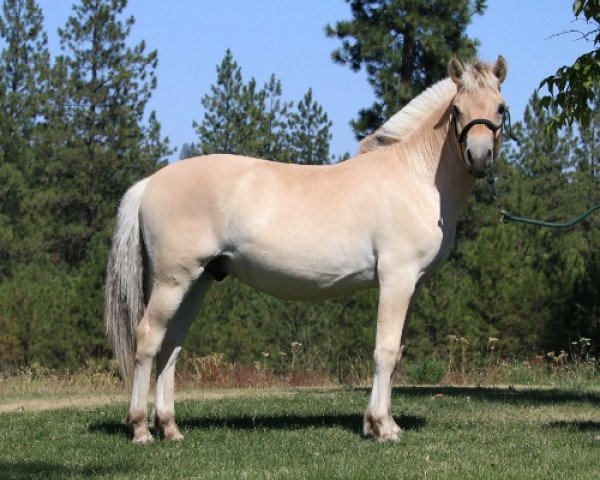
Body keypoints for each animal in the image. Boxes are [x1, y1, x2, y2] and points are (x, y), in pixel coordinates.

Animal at [105, 55, 508, 442]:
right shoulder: (396, 278)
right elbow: (386, 351)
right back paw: (140, 429)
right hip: (173, 280)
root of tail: (150, 182)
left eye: (500, 107)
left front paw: (379, 424)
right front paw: (382, 426)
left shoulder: (412, 283)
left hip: (198, 280)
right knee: (148, 339)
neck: (416, 177)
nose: (479, 157)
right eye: (456, 109)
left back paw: (170, 428)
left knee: (171, 344)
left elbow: (396, 353)